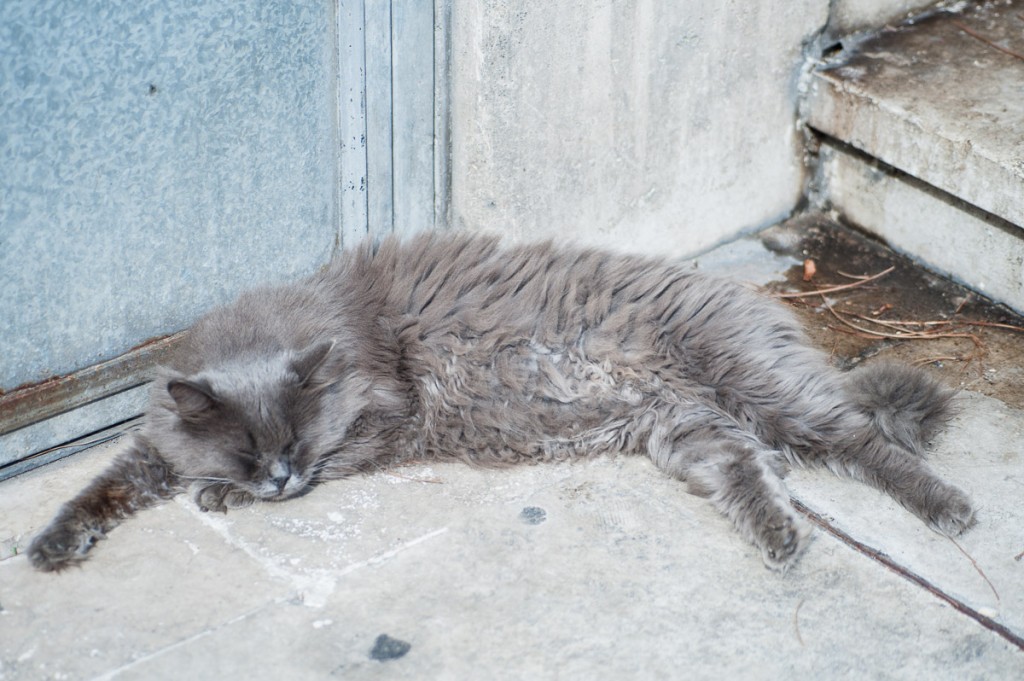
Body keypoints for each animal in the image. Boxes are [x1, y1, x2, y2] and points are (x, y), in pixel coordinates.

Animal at [28, 231, 974, 569]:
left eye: (289, 444)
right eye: (248, 447)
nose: (277, 478)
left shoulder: (387, 415)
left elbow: (339, 454)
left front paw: (220, 498)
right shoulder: (153, 445)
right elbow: (107, 486)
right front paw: (53, 544)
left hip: (759, 388)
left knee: (863, 442)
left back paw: (950, 508)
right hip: (688, 433)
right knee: (755, 469)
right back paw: (780, 540)